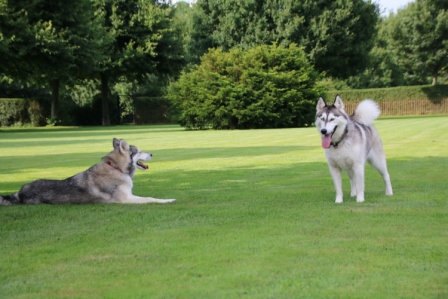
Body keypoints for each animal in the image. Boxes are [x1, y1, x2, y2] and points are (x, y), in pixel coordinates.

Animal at [0, 139, 175, 206]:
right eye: (139, 151)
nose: (152, 154)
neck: (116, 168)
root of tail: (20, 192)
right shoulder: (125, 199)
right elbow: (150, 198)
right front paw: (167, 200)